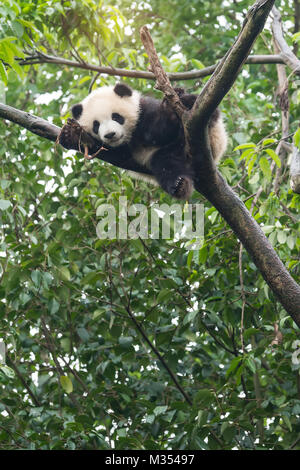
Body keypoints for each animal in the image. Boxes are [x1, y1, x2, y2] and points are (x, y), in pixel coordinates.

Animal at [71, 82, 226, 198]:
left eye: (116, 117)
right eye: (96, 125)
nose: (110, 135)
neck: (130, 135)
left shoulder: (144, 110)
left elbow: (161, 130)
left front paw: (170, 106)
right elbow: (117, 155)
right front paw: (70, 134)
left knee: (202, 108)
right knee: (167, 164)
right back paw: (179, 185)